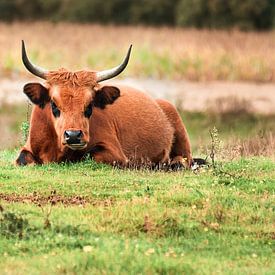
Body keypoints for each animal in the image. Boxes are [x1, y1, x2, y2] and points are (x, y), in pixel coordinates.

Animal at [16, 41, 193, 169]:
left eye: (90, 105)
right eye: (54, 104)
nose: (73, 135)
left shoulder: (115, 154)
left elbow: (90, 156)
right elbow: (22, 159)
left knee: (184, 158)